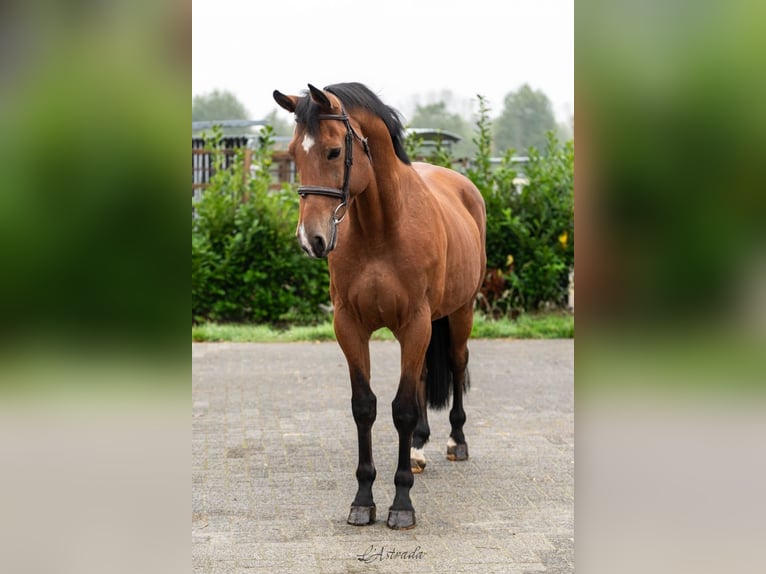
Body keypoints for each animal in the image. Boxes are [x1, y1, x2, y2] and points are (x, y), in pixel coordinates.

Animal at [270, 81, 486, 532]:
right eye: (295, 153)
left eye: (334, 151)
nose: (311, 239)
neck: (382, 227)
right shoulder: (350, 327)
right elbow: (364, 407)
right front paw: (363, 499)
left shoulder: (415, 324)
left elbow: (401, 409)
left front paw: (401, 504)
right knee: (422, 375)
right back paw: (418, 448)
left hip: (460, 313)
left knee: (457, 364)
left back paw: (456, 442)